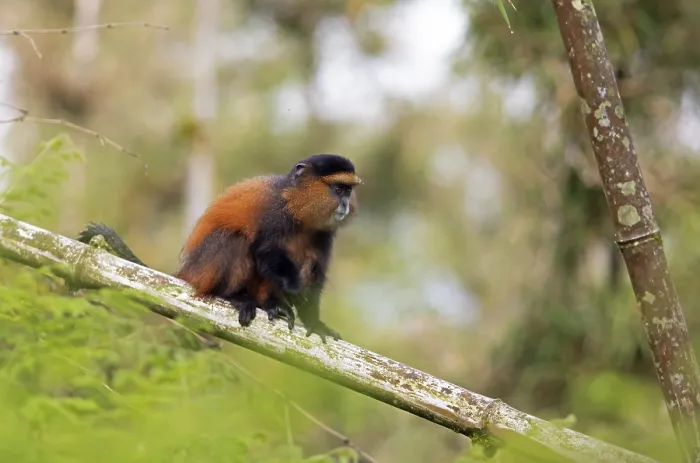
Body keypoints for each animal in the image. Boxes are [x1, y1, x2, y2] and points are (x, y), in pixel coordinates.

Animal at [78, 153, 361, 343]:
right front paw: (290, 290)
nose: (345, 205)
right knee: (234, 240)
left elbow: (314, 271)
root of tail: (187, 272)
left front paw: (315, 322)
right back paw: (239, 297)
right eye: (338, 189)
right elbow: (266, 252)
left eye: (348, 190)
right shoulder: (274, 213)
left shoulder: (324, 234)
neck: (297, 208)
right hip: (205, 268)